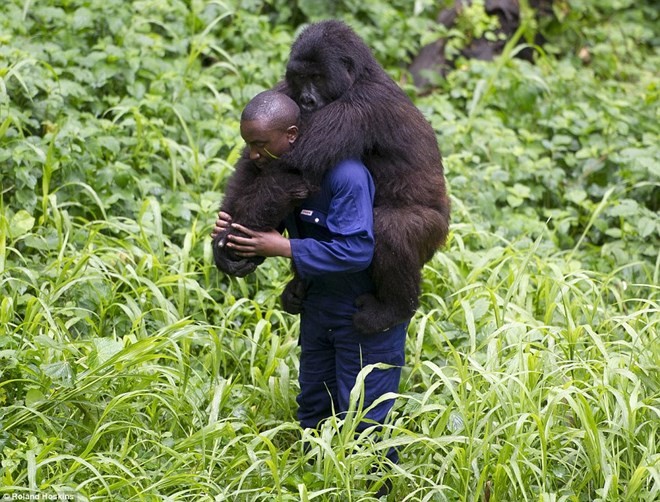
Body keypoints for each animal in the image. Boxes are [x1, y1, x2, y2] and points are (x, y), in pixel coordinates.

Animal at [214, 20, 452, 334]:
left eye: (317, 77)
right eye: (301, 77)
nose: (306, 99)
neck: (358, 76)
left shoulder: (361, 107)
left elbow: (289, 171)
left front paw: (230, 241)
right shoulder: (285, 91)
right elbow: (253, 165)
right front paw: (224, 242)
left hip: (435, 233)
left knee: (392, 227)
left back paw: (394, 309)